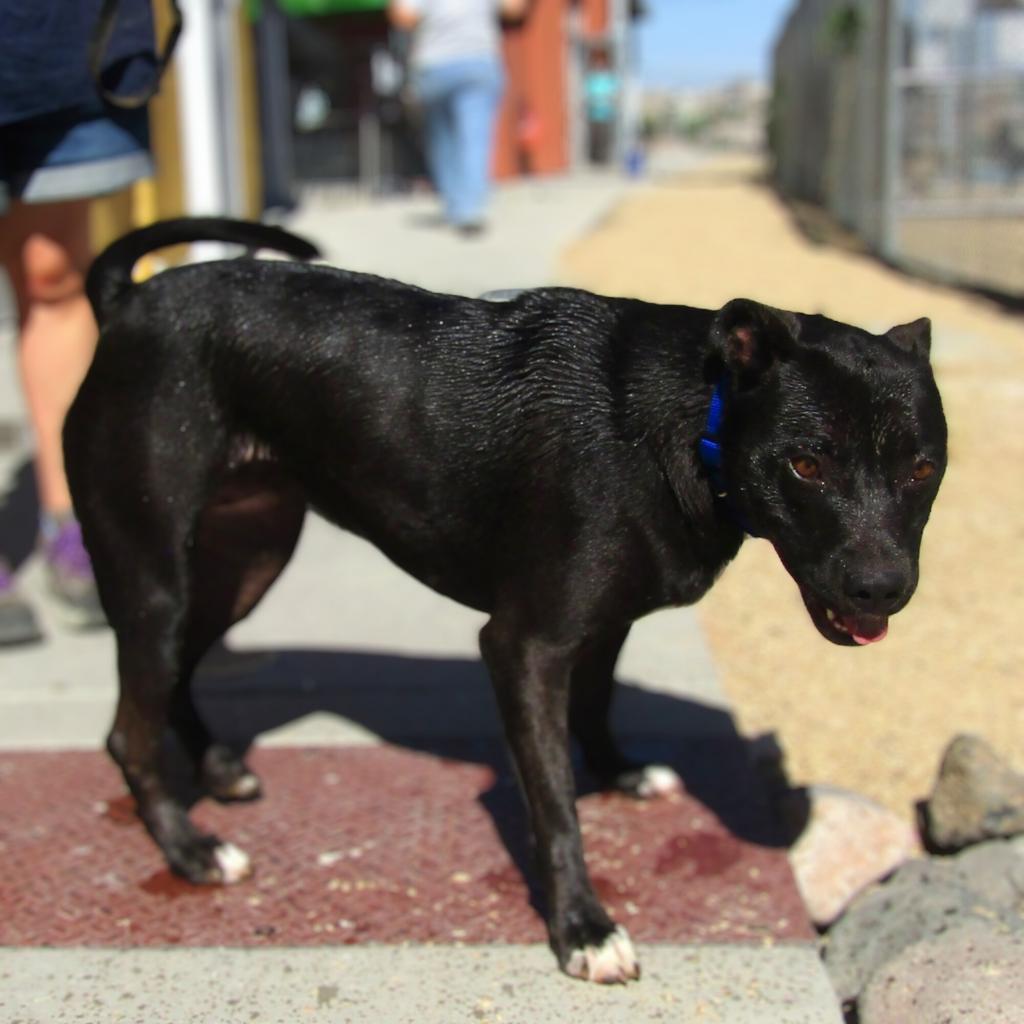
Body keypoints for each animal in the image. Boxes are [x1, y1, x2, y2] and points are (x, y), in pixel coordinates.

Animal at [61, 218, 942, 983]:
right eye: (806, 464)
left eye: (924, 469)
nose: (882, 587)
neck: (696, 424)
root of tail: (127, 304)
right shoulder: (524, 647)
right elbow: (553, 807)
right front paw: (584, 926)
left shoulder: (603, 624)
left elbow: (597, 706)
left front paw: (620, 772)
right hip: (155, 578)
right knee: (126, 731)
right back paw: (189, 849)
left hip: (245, 561)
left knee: (175, 674)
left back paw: (215, 769)